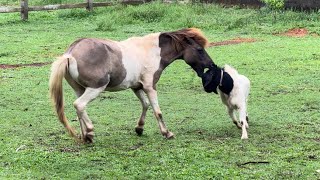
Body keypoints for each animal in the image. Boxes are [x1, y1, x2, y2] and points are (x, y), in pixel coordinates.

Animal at [49, 28, 215, 143]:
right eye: (200, 49)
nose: (212, 65)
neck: (153, 51)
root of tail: (70, 54)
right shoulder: (150, 86)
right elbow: (158, 111)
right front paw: (167, 133)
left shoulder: (137, 87)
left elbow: (145, 105)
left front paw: (139, 128)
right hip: (95, 88)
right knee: (79, 105)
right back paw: (89, 132)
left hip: (80, 89)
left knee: (79, 110)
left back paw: (85, 136)